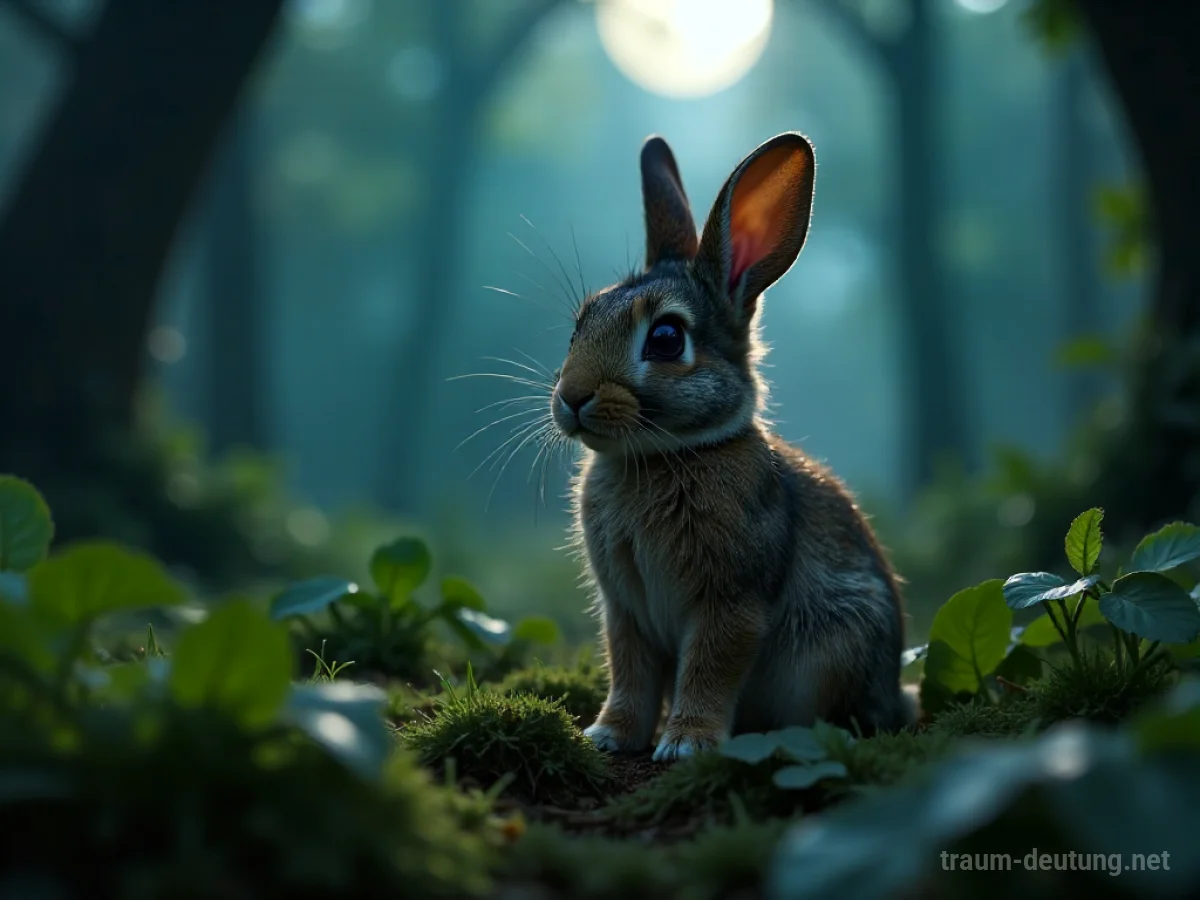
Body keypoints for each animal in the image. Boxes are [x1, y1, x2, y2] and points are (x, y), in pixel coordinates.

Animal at [549, 131, 915, 762]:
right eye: (581, 323)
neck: (667, 453)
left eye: (666, 339)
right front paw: (608, 736)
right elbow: (630, 673)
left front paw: (686, 744)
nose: (571, 398)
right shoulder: (625, 610)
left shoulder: (731, 600)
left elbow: (709, 667)